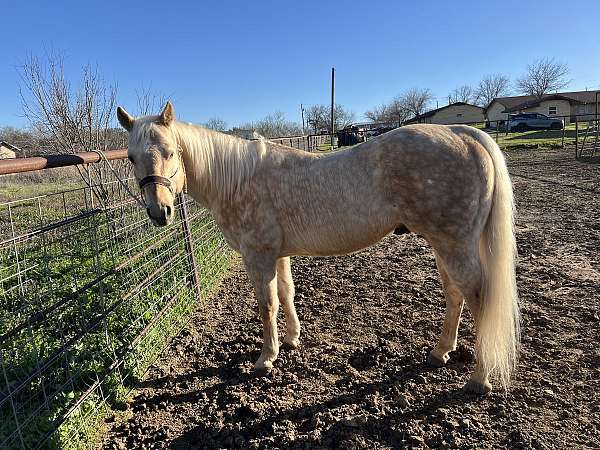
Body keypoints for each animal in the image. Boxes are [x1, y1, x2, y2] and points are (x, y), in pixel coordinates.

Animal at [118, 102, 520, 394]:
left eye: (171, 152)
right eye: (131, 157)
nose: (159, 212)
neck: (238, 178)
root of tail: (462, 132)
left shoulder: (258, 255)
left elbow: (267, 305)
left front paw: (266, 358)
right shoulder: (278, 254)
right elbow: (287, 293)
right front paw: (292, 340)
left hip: (454, 244)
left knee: (479, 299)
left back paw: (479, 378)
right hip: (443, 244)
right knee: (455, 295)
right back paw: (440, 352)